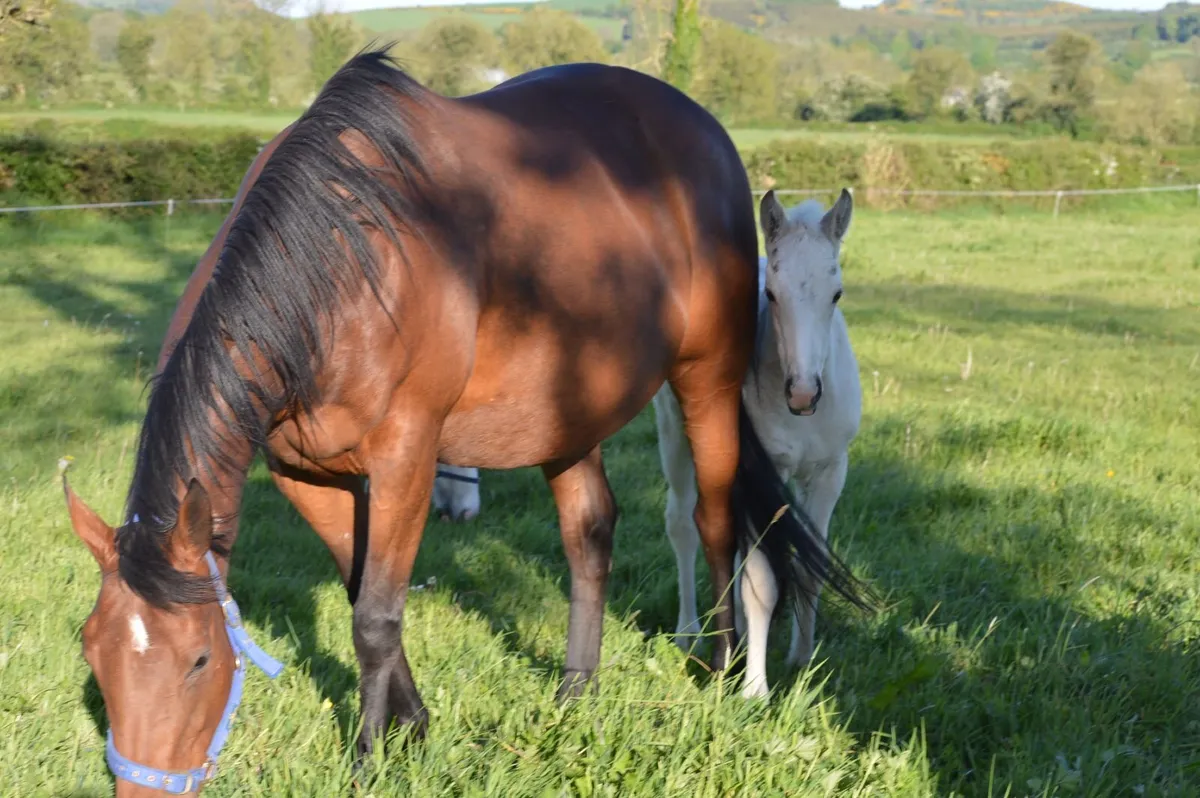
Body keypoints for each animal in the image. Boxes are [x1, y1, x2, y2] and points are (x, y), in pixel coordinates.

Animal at [657, 190, 863, 698]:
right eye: (771, 293)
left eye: (836, 294)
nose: (803, 393)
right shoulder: (761, 474)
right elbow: (760, 581)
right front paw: (754, 688)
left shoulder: (830, 472)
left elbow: (810, 566)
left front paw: (803, 662)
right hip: (675, 432)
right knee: (682, 525)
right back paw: (691, 633)